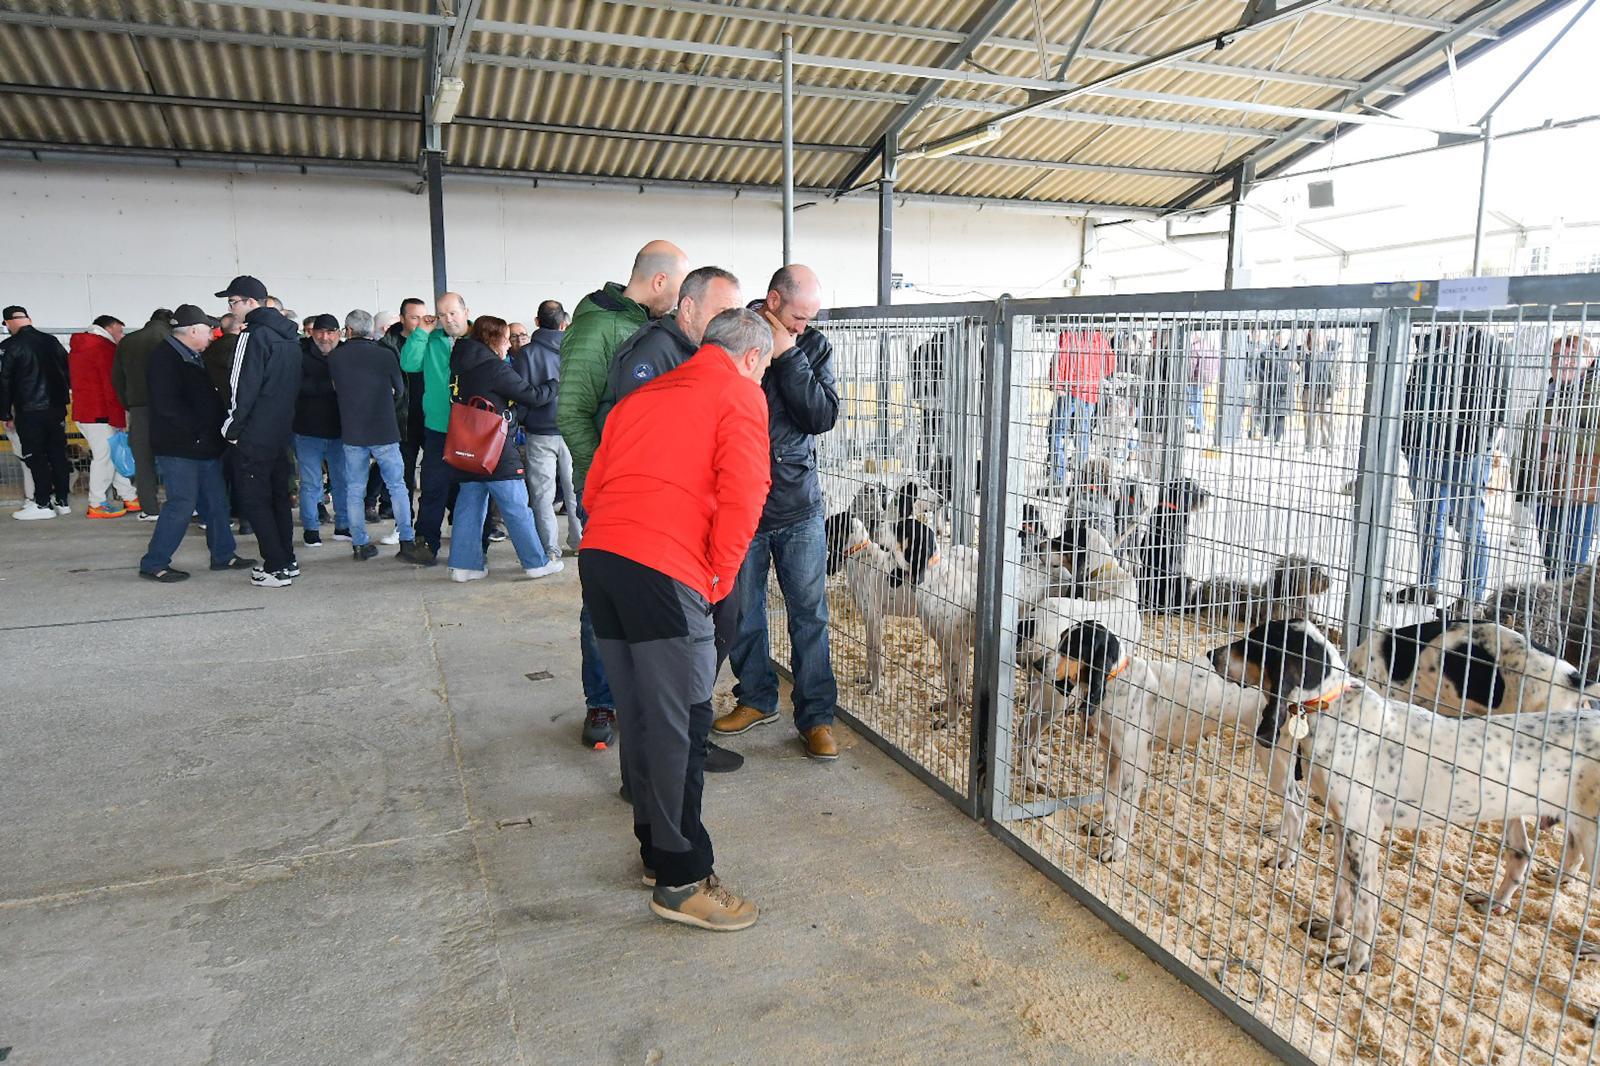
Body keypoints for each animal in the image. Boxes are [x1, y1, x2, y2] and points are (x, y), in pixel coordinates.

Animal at [1030, 617, 1267, 857]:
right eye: (1061, 638)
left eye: (1073, 647)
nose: (1037, 664)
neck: (1118, 681)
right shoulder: (1111, 754)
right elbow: (1109, 796)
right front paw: (1104, 826)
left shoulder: (1134, 765)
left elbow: (1126, 810)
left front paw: (1117, 850)